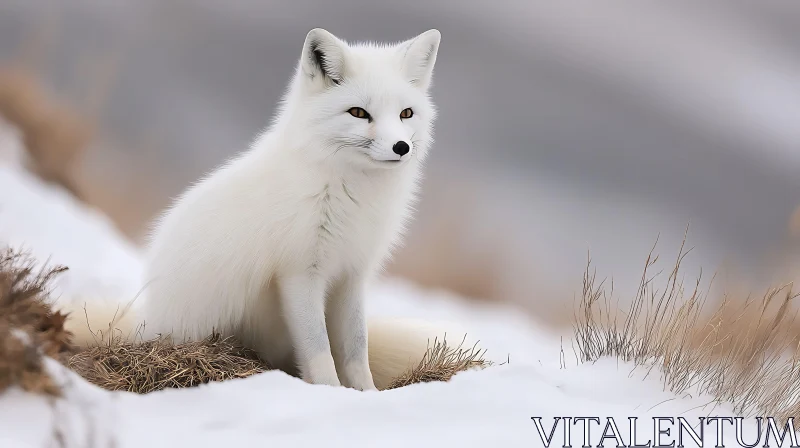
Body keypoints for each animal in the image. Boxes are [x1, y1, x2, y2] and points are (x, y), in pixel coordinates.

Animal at [64, 28, 468, 392]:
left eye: (406, 113)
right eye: (358, 113)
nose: (401, 147)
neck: (349, 192)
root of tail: (144, 323)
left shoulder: (351, 274)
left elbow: (356, 350)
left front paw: (366, 396)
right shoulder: (300, 274)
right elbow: (320, 351)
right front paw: (331, 395)